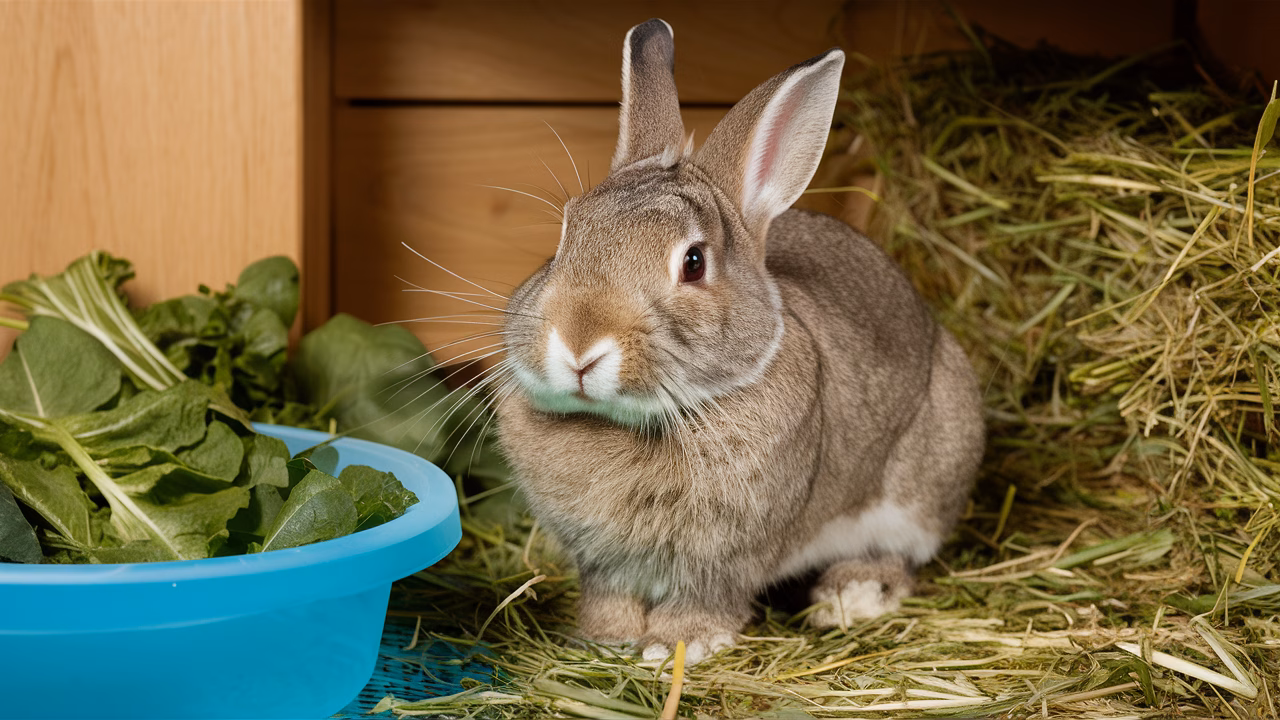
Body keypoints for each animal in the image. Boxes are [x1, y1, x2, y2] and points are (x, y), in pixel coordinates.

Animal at [494, 18, 985, 664]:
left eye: (694, 263)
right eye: (566, 233)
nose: (579, 345)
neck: (622, 421)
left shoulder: (724, 558)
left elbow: (706, 598)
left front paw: (677, 646)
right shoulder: (604, 563)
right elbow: (610, 595)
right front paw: (607, 638)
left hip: (923, 487)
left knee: (902, 558)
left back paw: (850, 598)